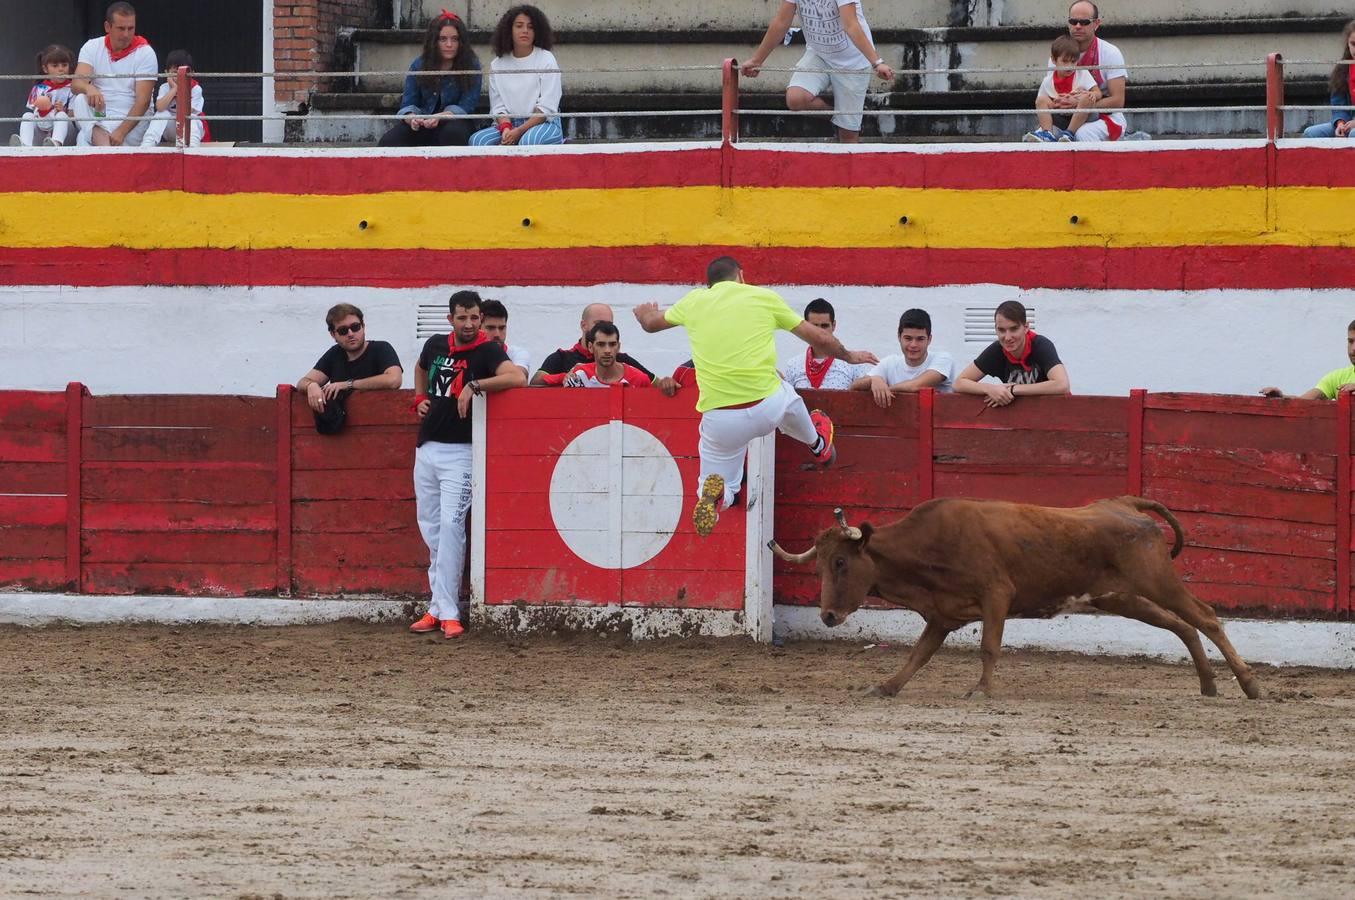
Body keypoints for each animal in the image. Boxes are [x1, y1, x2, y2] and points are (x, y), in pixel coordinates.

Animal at [769, 496, 1262, 699]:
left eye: (840, 563)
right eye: (819, 565)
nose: (828, 616)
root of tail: (1125, 503)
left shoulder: (996, 596)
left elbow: (989, 647)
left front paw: (982, 690)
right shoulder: (941, 615)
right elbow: (917, 656)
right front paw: (886, 687)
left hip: (1158, 581)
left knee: (1206, 617)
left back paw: (1250, 684)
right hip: (1122, 598)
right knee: (1181, 626)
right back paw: (1208, 685)